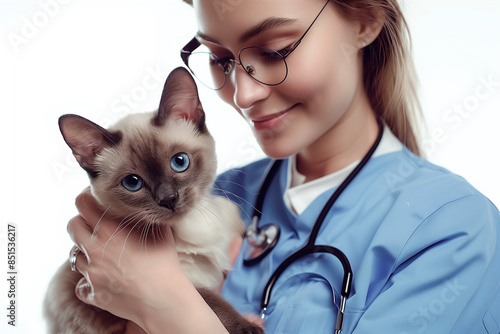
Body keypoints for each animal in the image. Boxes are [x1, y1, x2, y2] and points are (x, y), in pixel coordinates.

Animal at [44, 68, 264, 334]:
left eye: (179, 162)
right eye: (132, 183)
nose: (168, 199)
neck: (188, 227)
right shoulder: (189, 282)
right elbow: (212, 303)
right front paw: (248, 327)